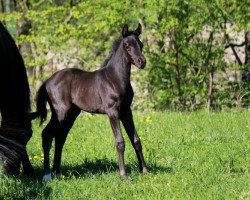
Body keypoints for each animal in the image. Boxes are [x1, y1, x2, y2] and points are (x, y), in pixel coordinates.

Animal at [31, 23, 148, 181]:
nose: (142, 62)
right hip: (60, 112)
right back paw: (47, 175)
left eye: (140, 45)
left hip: (71, 114)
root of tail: (47, 81)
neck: (115, 78)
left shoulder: (126, 111)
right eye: (127, 46)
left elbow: (136, 139)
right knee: (47, 134)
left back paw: (57, 172)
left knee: (60, 137)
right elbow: (120, 141)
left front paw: (145, 170)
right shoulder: (113, 112)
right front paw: (124, 176)